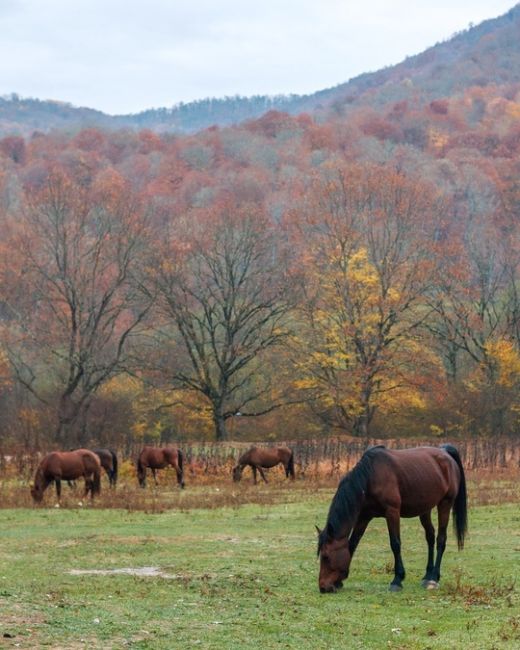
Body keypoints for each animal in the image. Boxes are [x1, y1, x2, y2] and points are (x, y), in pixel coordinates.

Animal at [316, 446, 468, 592]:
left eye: (326, 557)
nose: (323, 587)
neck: (370, 477)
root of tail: (445, 452)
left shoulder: (392, 512)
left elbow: (395, 543)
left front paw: (397, 580)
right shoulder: (364, 516)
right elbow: (353, 544)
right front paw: (340, 581)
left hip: (445, 503)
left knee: (441, 539)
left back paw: (433, 578)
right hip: (425, 509)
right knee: (430, 536)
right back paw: (427, 575)